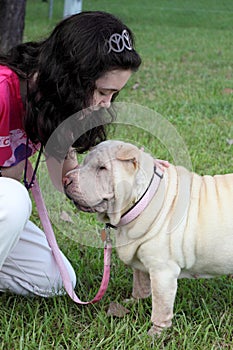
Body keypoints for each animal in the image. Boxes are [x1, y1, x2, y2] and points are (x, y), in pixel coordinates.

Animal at [62, 140, 233, 336]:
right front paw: (134, 303)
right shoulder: (140, 262)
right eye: (83, 162)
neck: (141, 202)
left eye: (102, 168)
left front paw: (154, 334)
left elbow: (160, 307)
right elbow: (140, 285)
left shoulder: (162, 272)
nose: (65, 179)